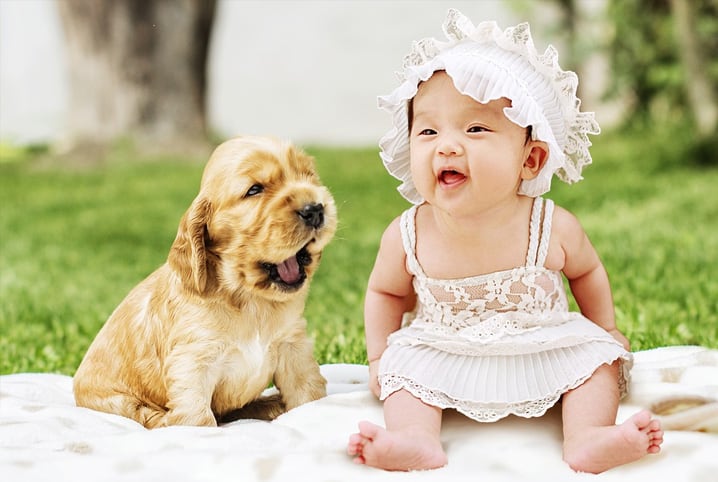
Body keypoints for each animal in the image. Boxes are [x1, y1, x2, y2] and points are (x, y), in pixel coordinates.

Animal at [74, 137, 338, 430]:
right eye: (255, 189)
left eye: (308, 176)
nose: (315, 209)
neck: (249, 300)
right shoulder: (192, 361)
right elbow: (197, 417)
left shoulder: (293, 347)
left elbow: (307, 393)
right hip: (116, 401)